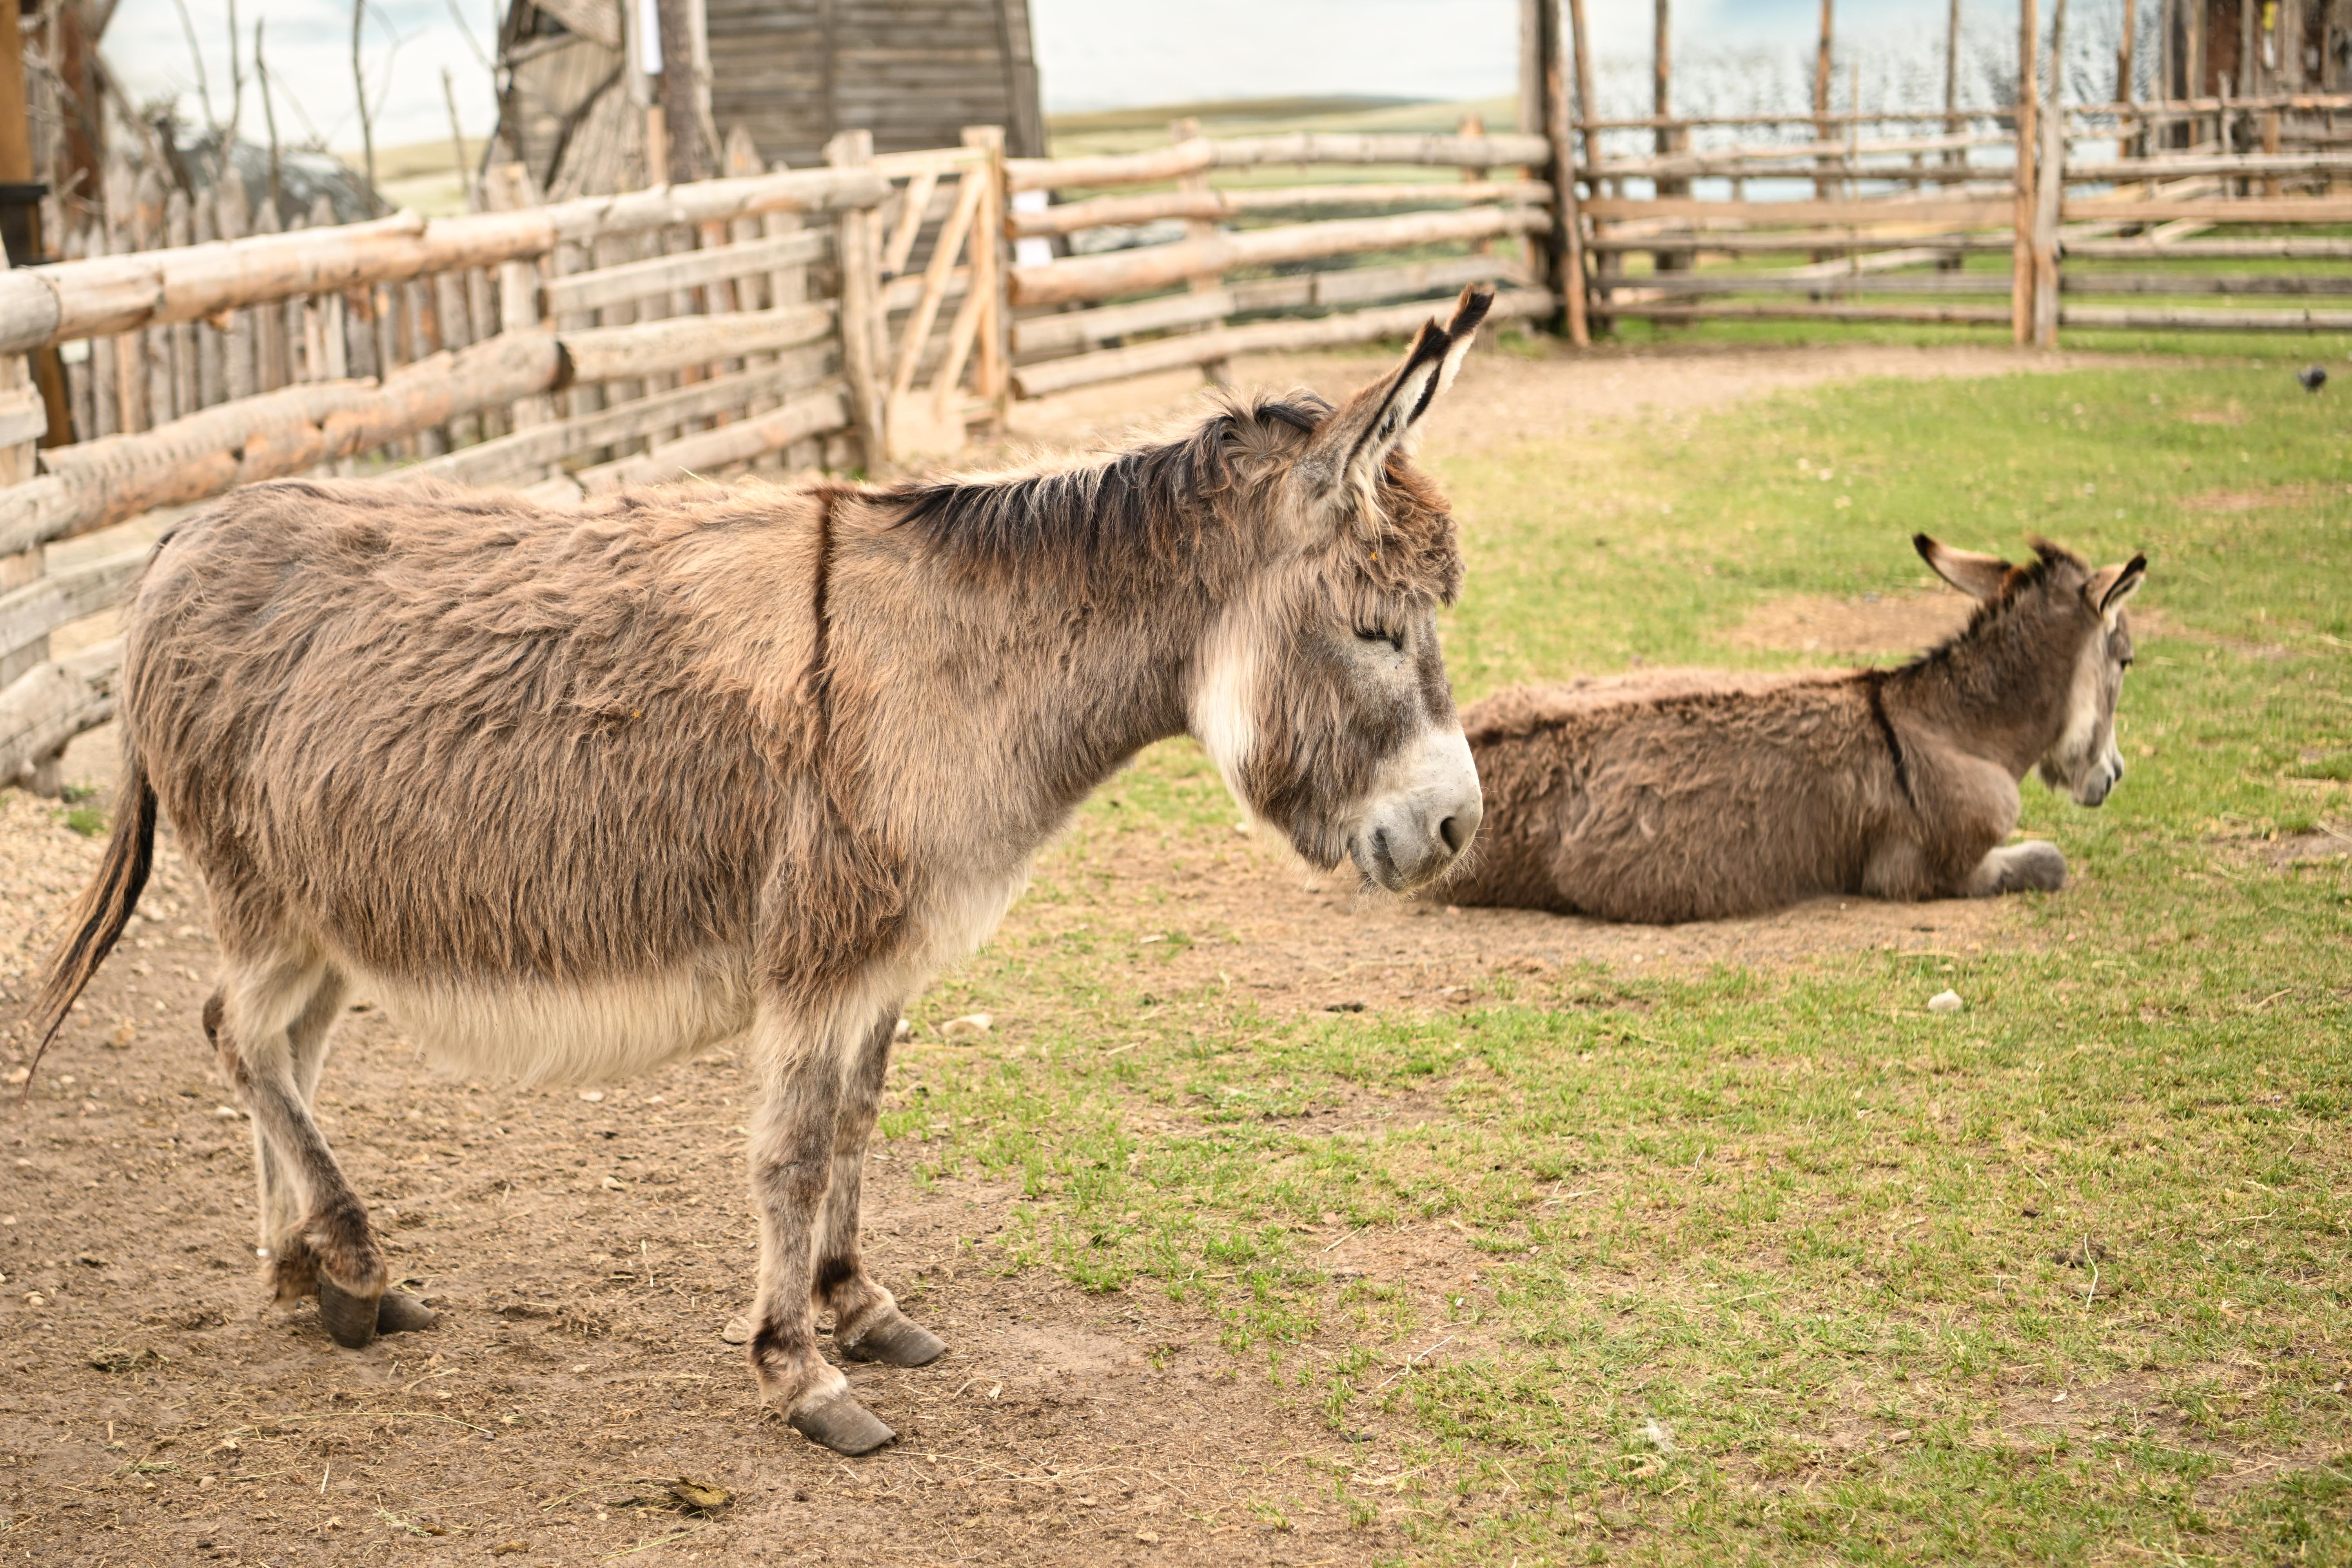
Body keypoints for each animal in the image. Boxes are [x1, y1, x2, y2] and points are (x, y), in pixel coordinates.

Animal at [27, 287, 1496, 1455]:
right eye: (1377, 629)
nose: (1453, 831)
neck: (957, 668)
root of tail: (184, 537)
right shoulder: (815, 955)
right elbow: (788, 1150)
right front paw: (800, 1374)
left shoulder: (888, 959)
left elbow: (855, 1122)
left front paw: (859, 1303)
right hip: (265, 898)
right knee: (238, 1034)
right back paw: (344, 1248)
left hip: (333, 909)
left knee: (282, 1047)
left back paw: (311, 1277)